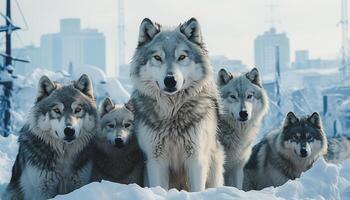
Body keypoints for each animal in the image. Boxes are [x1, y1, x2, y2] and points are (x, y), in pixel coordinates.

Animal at [129, 18, 224, 191]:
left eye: (181, 57)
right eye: (157, 57)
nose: (170, 80)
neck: (172, 114)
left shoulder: (196, 159)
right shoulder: (156, 160)